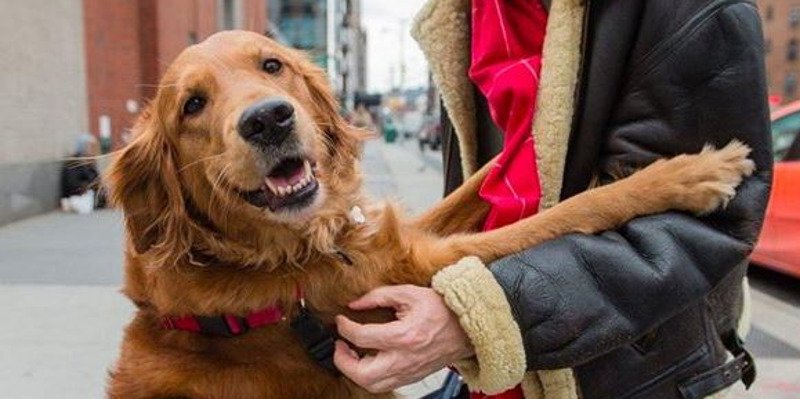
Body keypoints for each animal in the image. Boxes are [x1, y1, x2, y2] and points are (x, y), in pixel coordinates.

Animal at [108, 32, 756, 399]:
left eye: (271, 66)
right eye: (193, 105)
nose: (268, 119)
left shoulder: (402, 239)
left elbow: (484, 182)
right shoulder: (411, 269)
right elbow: (567, 212)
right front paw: (688, 174)